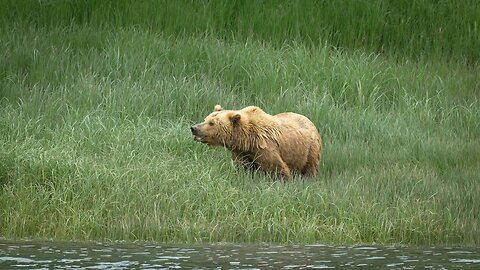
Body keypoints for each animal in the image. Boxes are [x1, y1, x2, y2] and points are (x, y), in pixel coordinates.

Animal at [191, 104, 322, 178]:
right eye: (205, 119)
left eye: (212, 123)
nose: (194, 128)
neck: (247, 140)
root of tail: (309, 120)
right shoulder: (242, 152)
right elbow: (244, 167)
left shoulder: (265, 147)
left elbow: (276, 167)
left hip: (310, 149)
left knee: (310, 167)